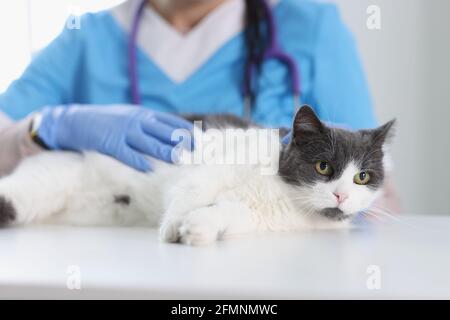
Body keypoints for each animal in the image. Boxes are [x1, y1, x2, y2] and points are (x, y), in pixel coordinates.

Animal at [0, 105, 394, 245]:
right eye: (323, 167)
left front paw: (198, 229)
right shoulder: (217, 162)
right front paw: (174, 225)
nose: (341, 196)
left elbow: (226, 213)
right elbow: (194, 187)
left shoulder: (260, 218)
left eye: (362, 177)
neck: (284, 193)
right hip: (51, 177)